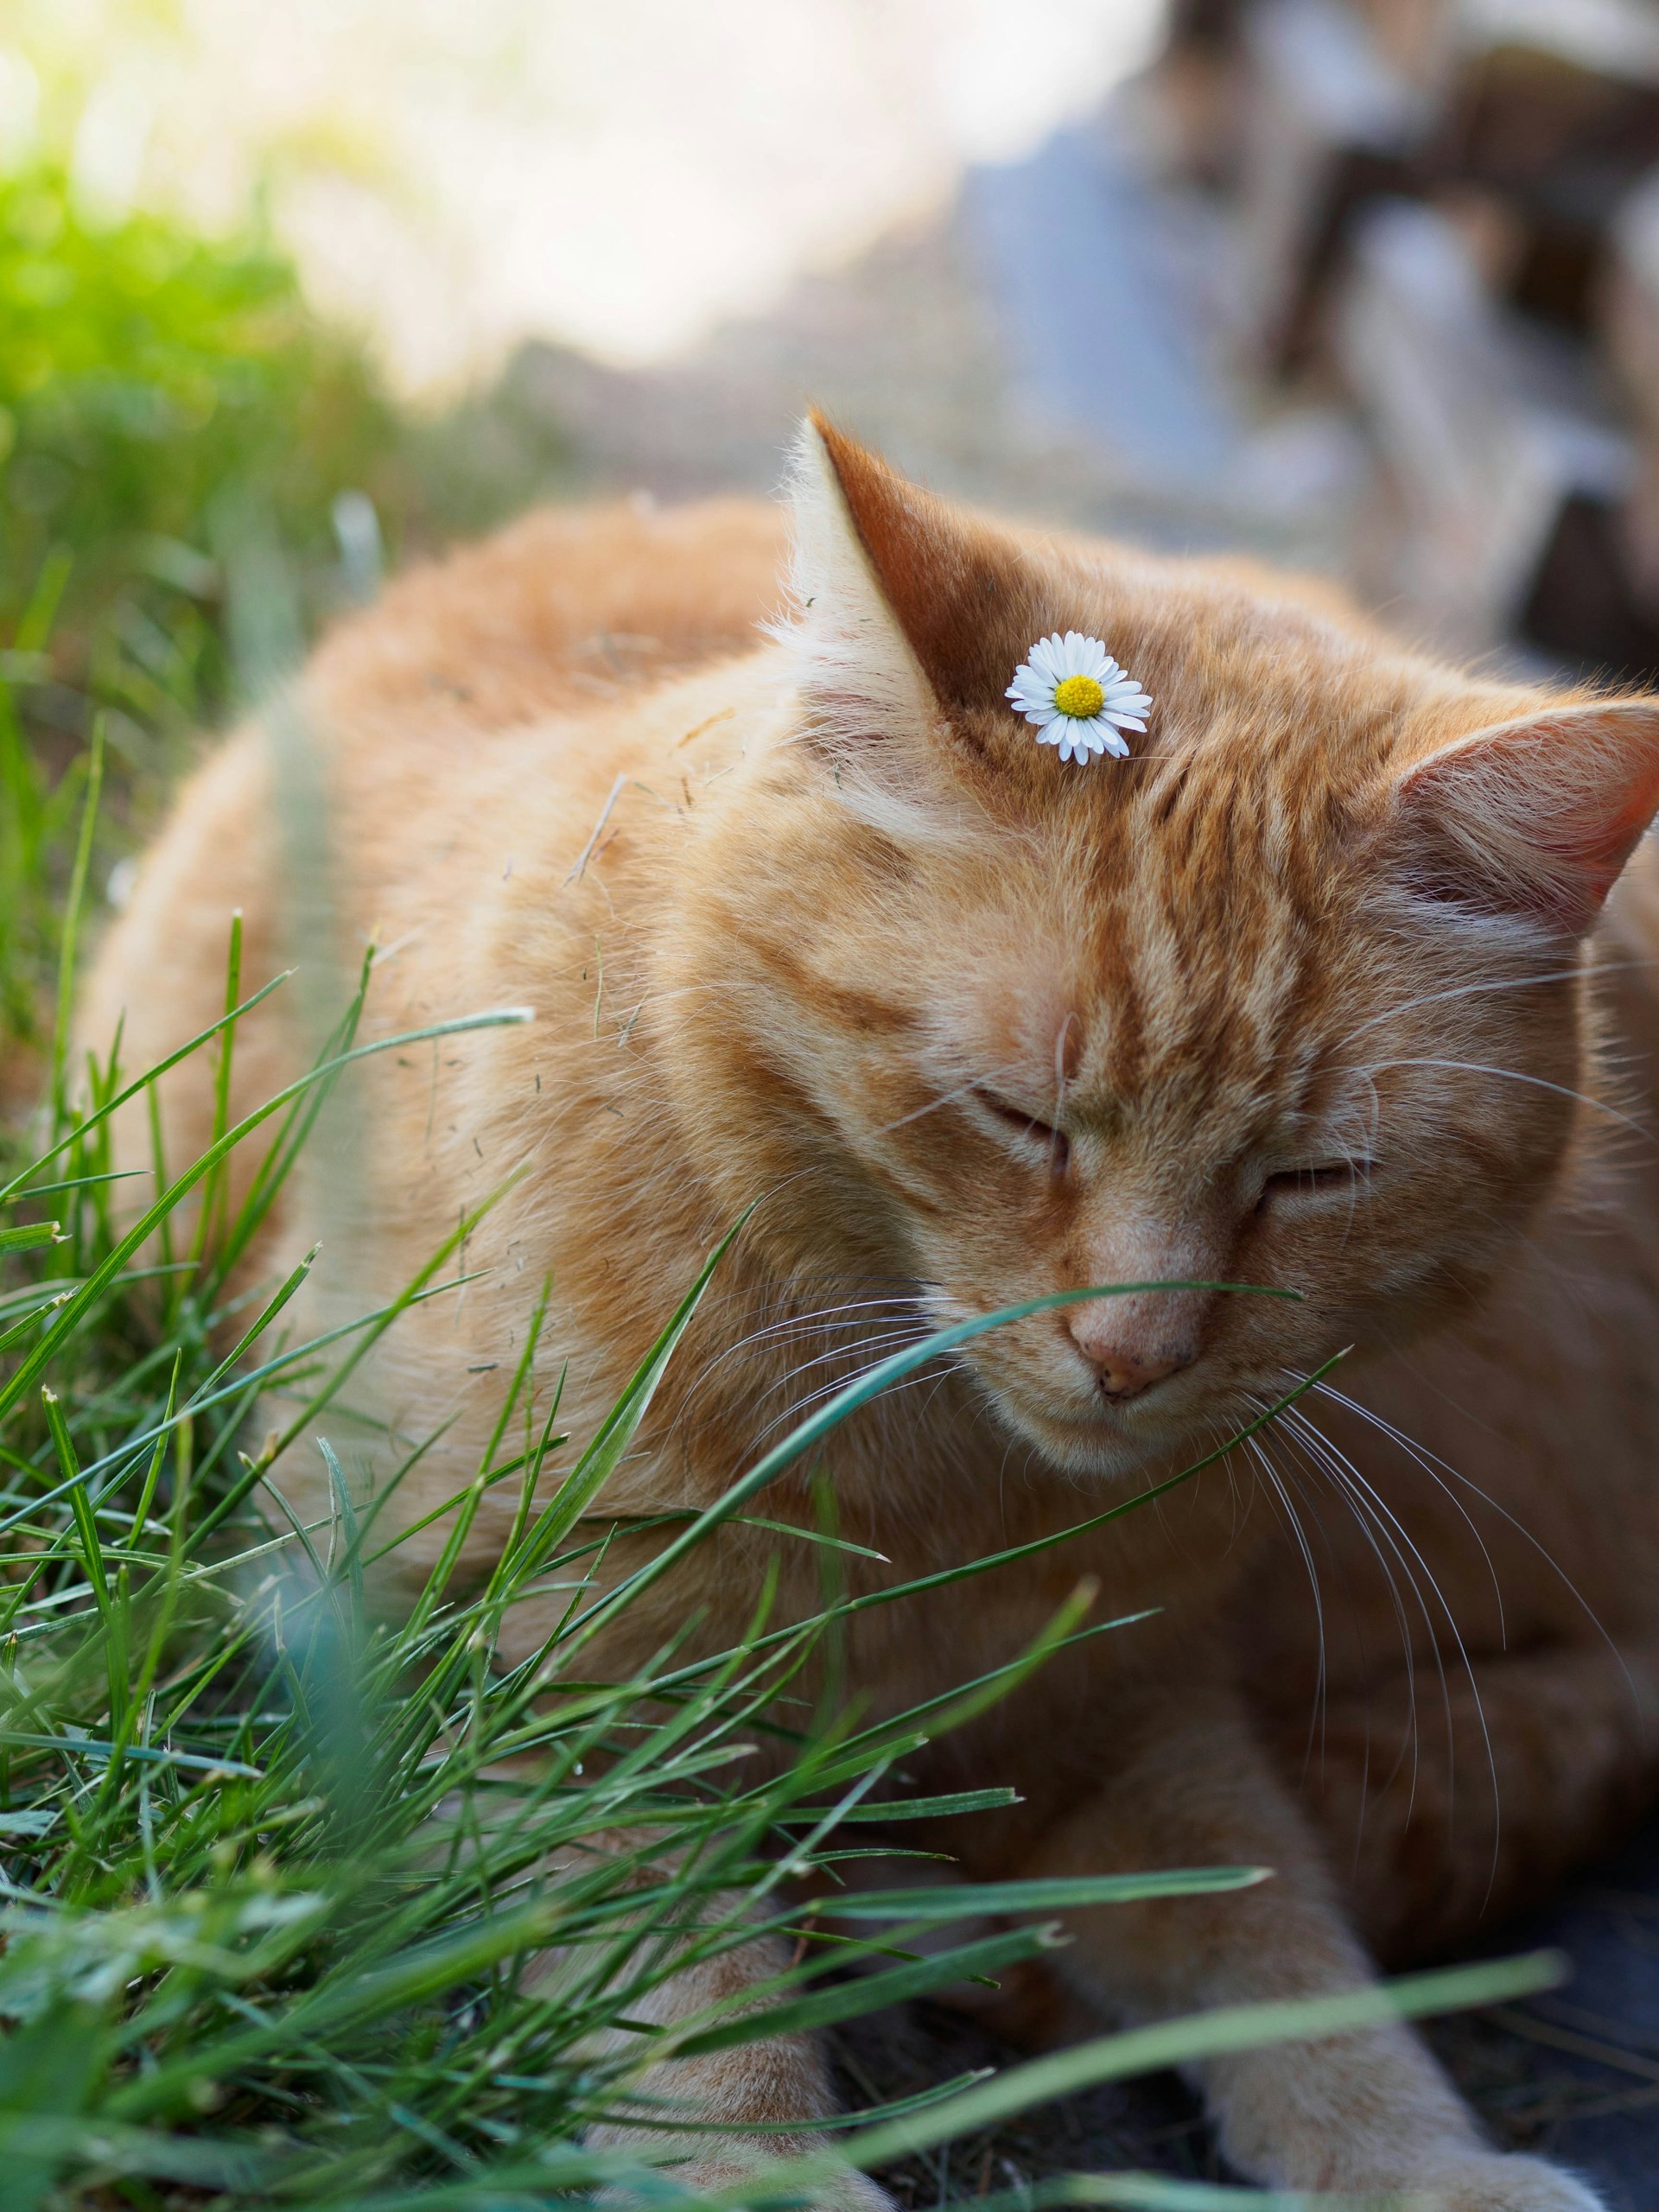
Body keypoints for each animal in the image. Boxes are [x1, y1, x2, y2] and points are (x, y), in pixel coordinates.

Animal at [78, 417, 1659, 2212]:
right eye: (1020, 1118)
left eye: (1317, 1178)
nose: (1133, 1353)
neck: (943, 1507)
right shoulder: (505, 1669)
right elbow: (687, 1985)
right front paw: (773, 2171)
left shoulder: (1144, 1722)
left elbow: (1284, 1951)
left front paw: (1419, 2161)